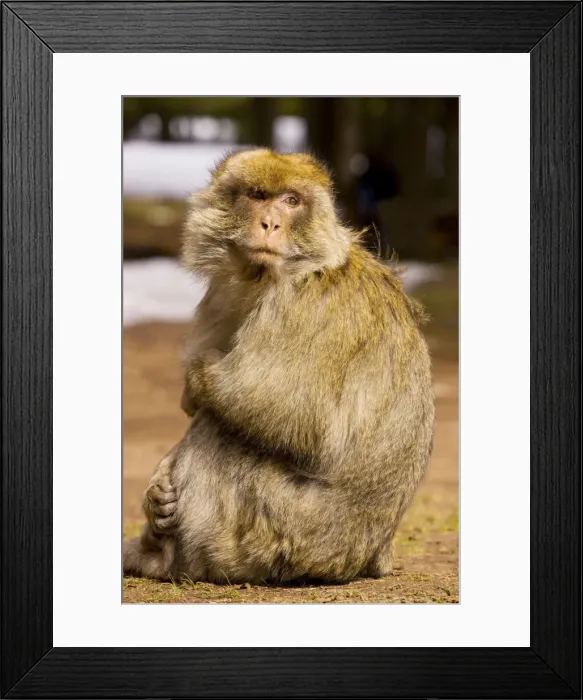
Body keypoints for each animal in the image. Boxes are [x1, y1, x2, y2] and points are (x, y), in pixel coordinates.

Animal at [123, 148, 435, 585]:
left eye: (291, 201)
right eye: (257, 195)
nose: (270, 223)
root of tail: (371, 558)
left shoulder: (307, 306)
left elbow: (301, 419)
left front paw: (197, 379)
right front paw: (155, 492)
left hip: (289, 532)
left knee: (219, 429)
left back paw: (163, 560)